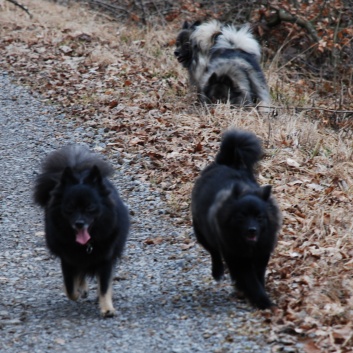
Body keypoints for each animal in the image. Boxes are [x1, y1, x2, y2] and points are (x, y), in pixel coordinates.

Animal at [33, 144, 129, 314]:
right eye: (70, 208)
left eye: (90, 207)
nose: (79, 223)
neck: (86, 245)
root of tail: (78, 170)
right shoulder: (67, 259)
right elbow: (70, 287)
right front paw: (77, 292)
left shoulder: (105, 259)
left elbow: (104, 286)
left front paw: (107, 309)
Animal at [191, 129, 280, 308]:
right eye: (242, 216)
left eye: (259, 217)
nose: (252, 230)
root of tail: (225, 162)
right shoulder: (237, 258)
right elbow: (250, 281)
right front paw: (263, 302)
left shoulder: (261, 254)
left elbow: (258, 277)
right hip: (203, 233)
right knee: (214, 252)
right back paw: (217, 271)